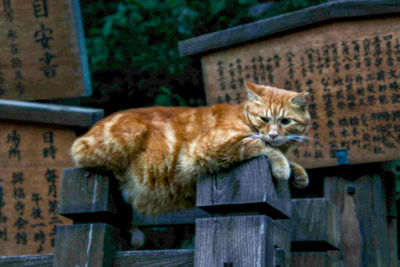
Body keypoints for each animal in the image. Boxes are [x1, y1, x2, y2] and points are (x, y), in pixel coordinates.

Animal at [70, 80, 310, 217]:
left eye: (286, 121)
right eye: (264, 119)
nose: (274, 134)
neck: (243, 116)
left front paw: (298, 172)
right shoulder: (211, 145)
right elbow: (259, 144)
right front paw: (282, 167)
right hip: (127, 135)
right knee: (79, 153)